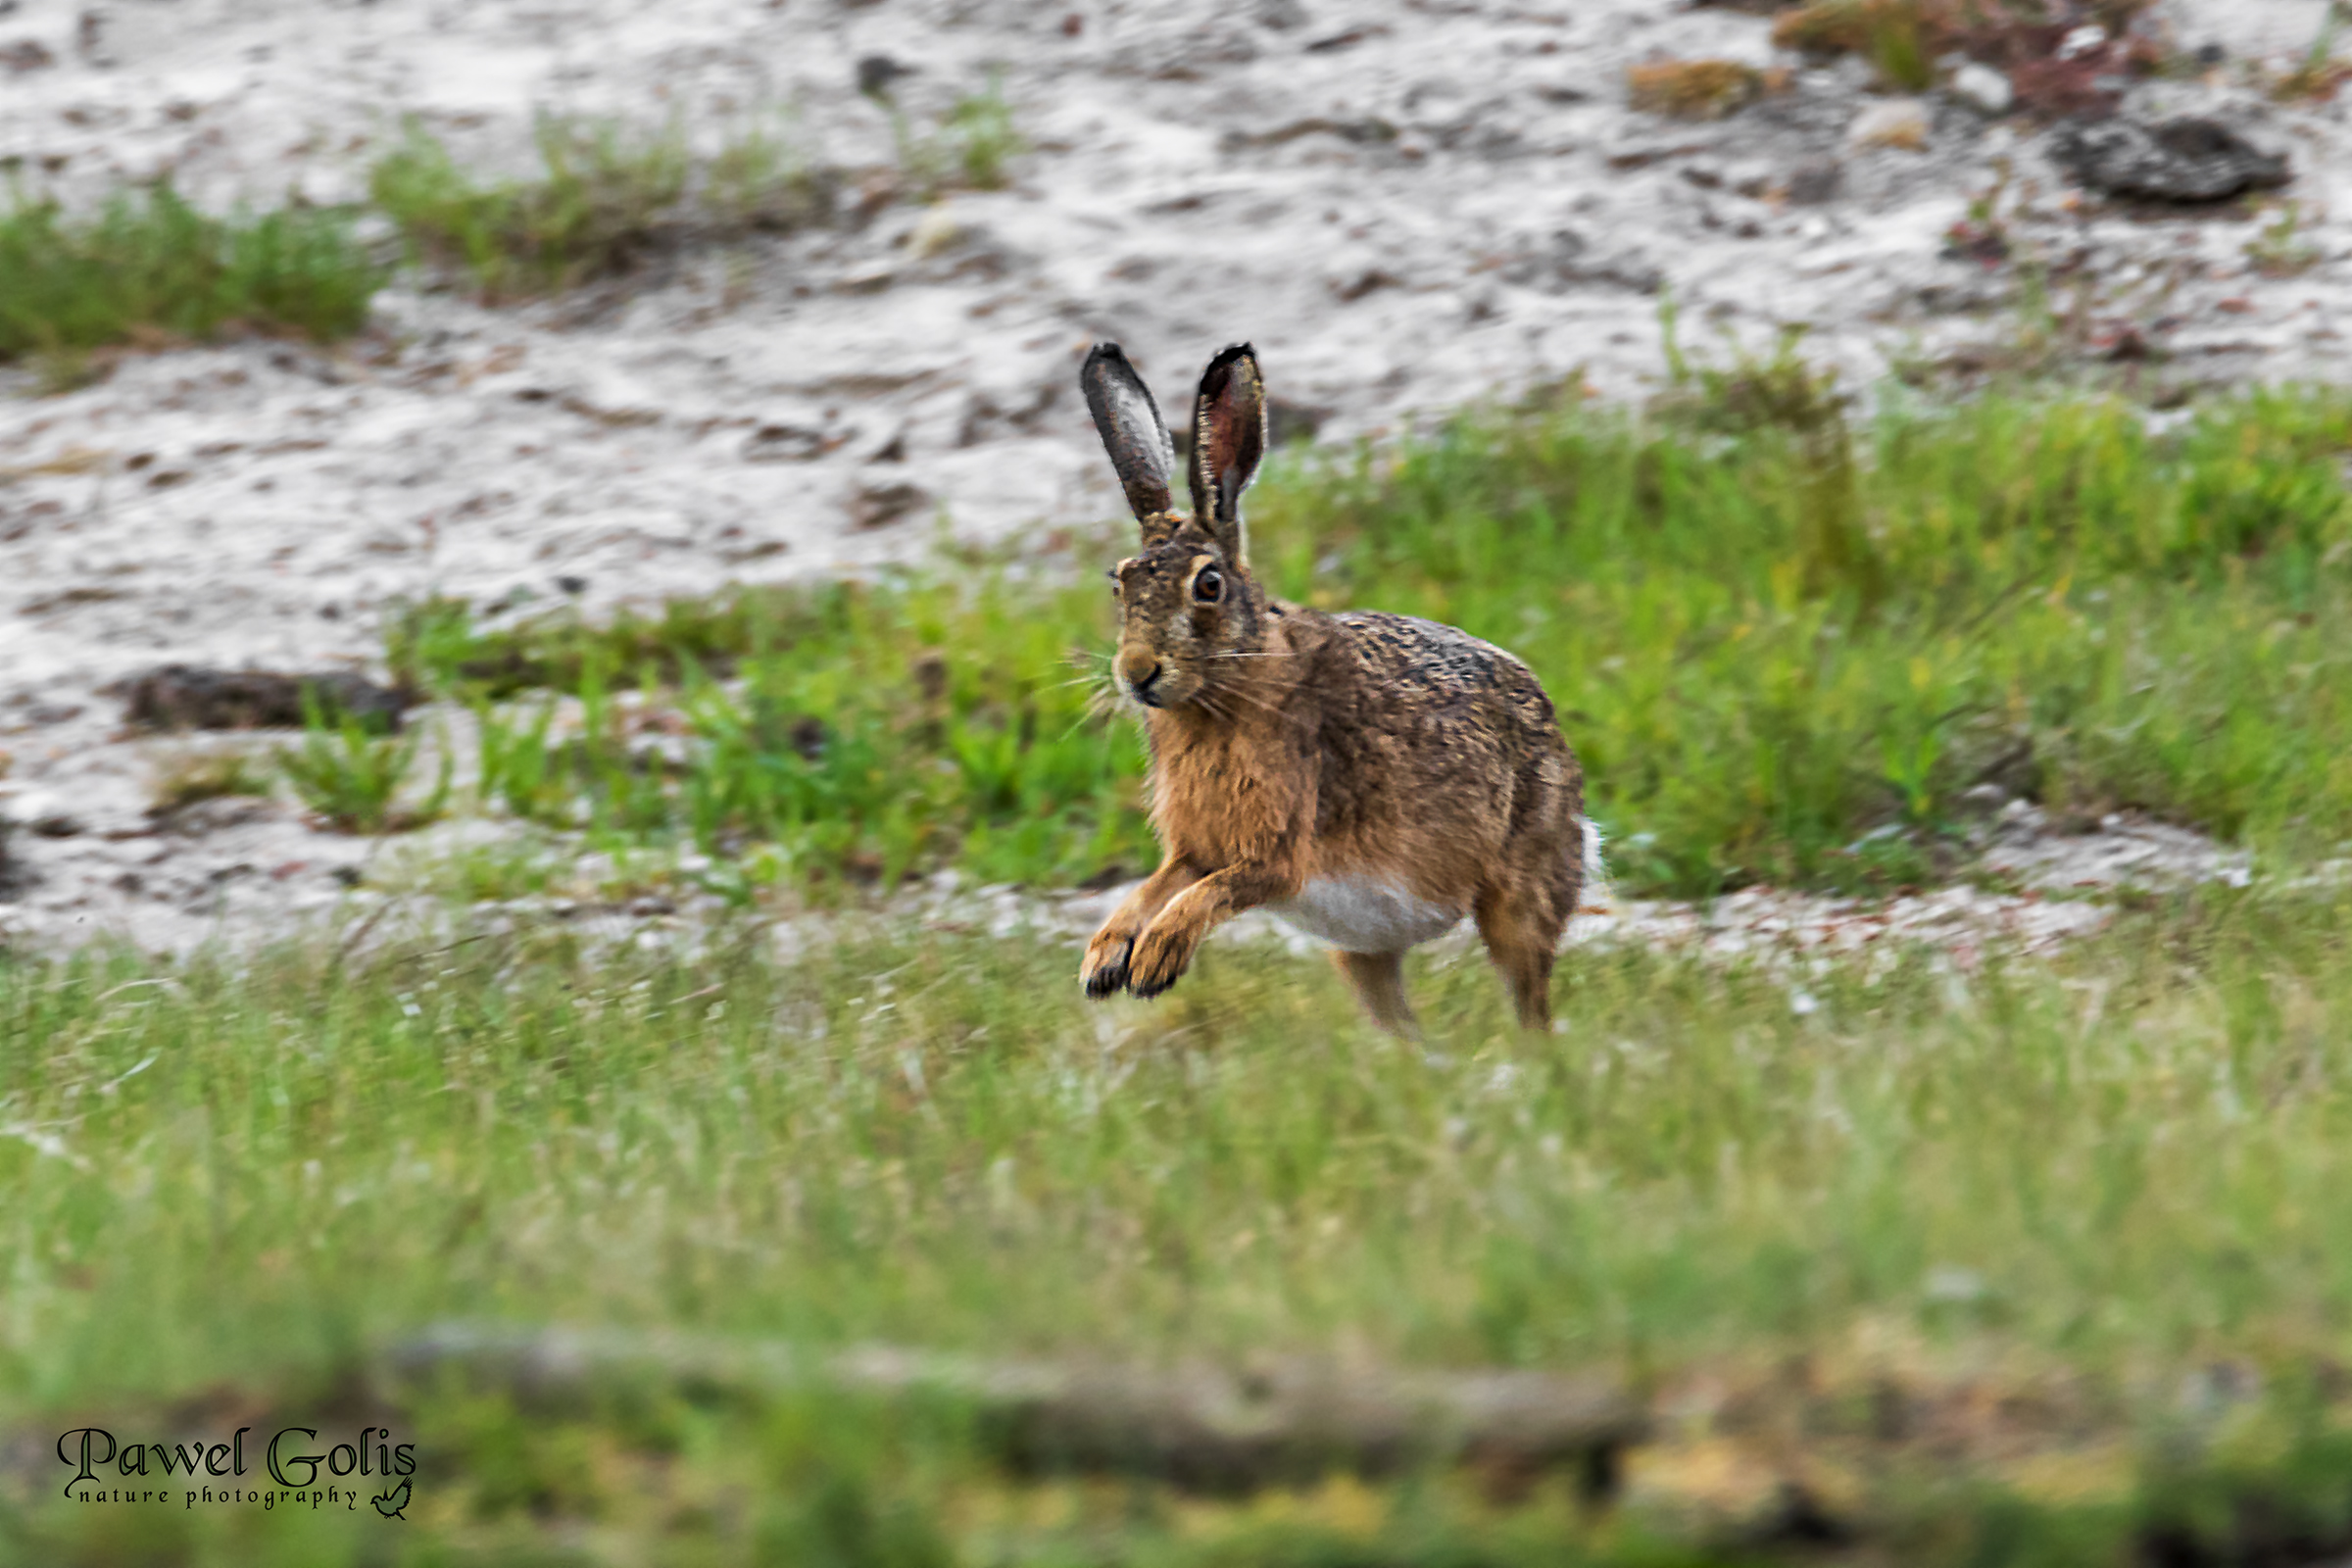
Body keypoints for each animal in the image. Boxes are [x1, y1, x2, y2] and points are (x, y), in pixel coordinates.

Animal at [1077, 340, 1598, 1036]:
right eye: (1120, 583)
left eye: (1208, 585)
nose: (1137, 671)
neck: (1228, 690)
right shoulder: (1196, 847)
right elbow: (1157, 886)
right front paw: (1105, 959)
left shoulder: (1276, 854)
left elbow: (1212, 891)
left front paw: (1156, 958)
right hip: (1361, 953)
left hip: (1518, 896)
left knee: (1529, 996)